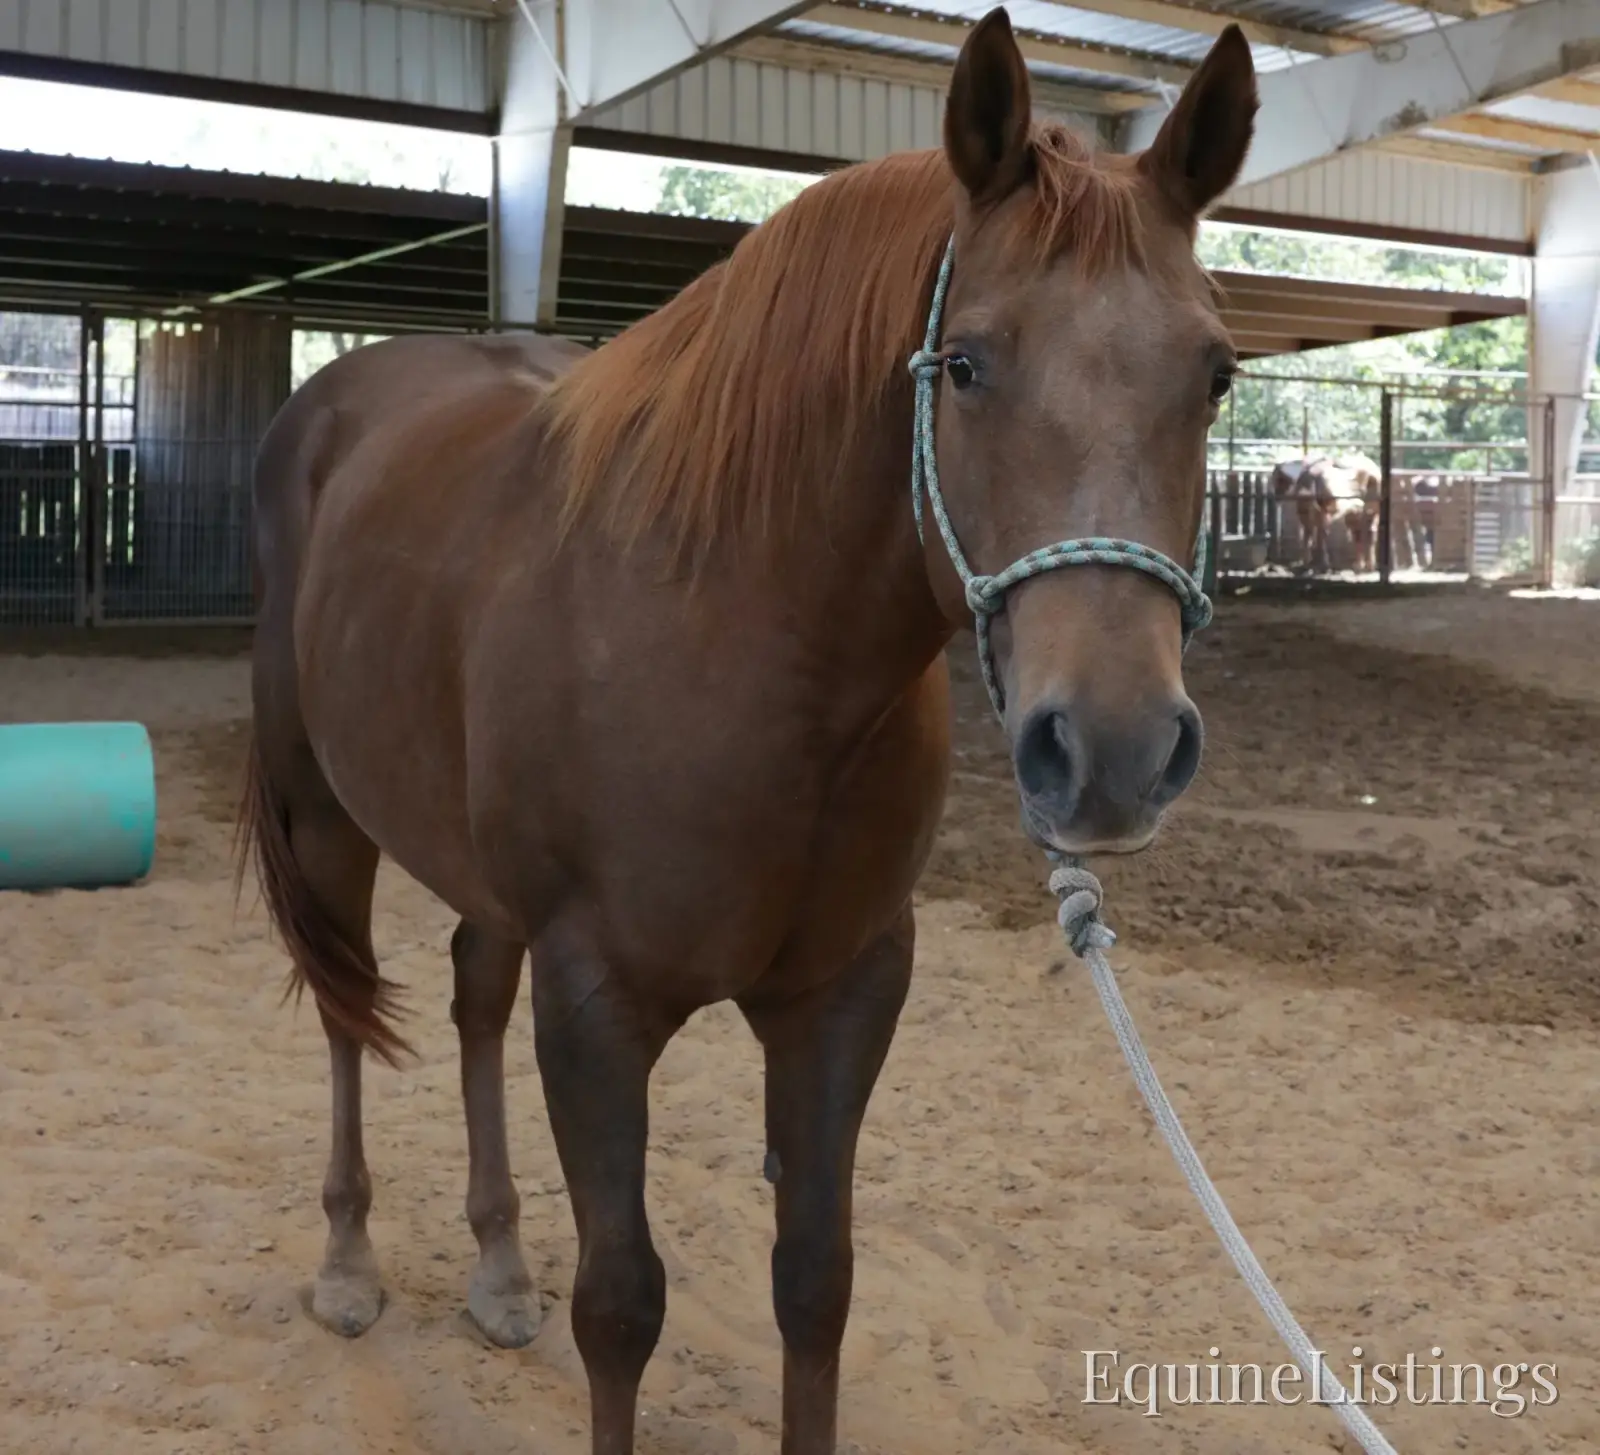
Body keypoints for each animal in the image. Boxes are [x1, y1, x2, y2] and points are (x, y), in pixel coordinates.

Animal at [234, 13, 1258, 1453]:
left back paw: (498, 1266)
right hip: (325, 812)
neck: (750, 655)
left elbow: (815, 1285)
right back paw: (347, 1263)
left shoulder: (845, 993)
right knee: (344, 1010)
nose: (1111, 748)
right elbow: (621, 1306)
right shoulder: (597, 1003)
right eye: (966, 362)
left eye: (1215, 373)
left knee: (471, 994)